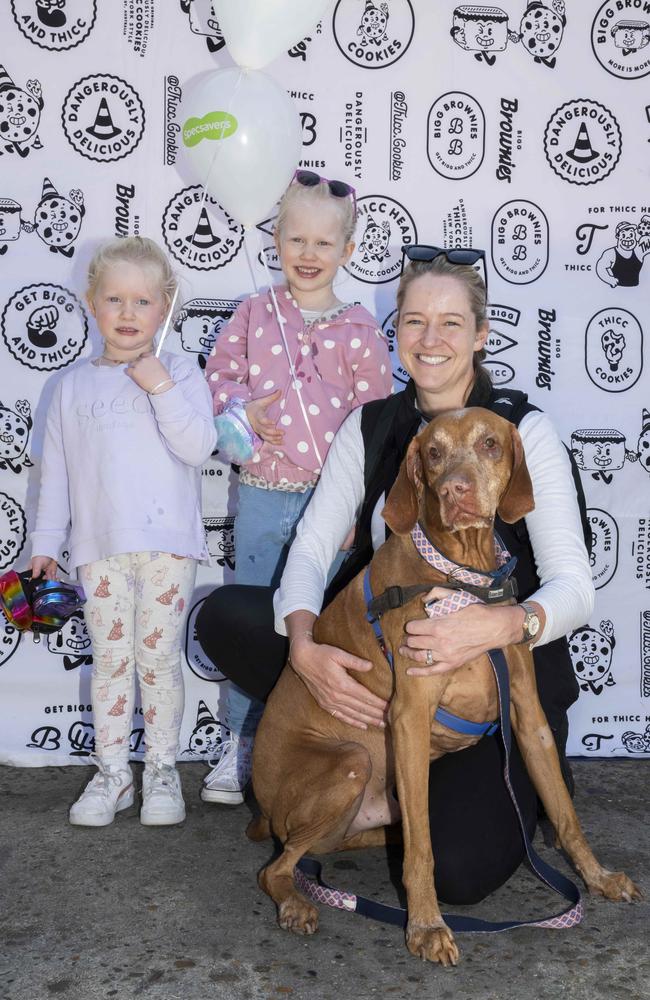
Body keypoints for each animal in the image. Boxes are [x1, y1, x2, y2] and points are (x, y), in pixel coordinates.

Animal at [249, 406, 636, 960]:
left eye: (491, 443)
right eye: (433, 452)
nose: (456, 490)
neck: (463, 576)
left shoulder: (528, 715)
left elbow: (564, 813)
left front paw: (598, 877)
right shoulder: (409, 717)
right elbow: (424, 849)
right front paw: (427, 925)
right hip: (351, 762)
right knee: (277, 868)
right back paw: (296, 905)